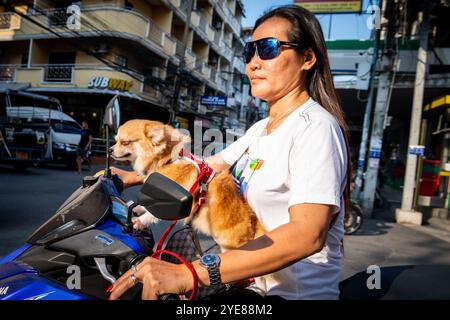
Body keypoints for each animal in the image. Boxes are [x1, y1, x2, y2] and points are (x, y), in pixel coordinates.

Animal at [111, 119, 266, 251]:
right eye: (116, 140)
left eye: (125, 142)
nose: (109, 150)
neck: (168, 160)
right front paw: (139, 207)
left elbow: (154, 212)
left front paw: (140, 221)